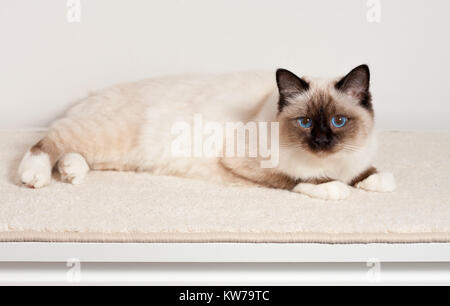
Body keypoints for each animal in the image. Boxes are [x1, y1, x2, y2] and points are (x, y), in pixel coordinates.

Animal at [19, 64, 396, 201]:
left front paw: (375, 181)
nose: (320, 141)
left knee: (74, 154)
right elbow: (299, 179)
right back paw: (34, 176)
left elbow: (365, 171)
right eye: (305, 123)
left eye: (338, 122)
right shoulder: (244, 162)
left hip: (117, 156)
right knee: (50, 140)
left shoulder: (356, 158)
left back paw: (72, 173)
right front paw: (334, 187)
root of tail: (91, 95)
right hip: (103, 135)